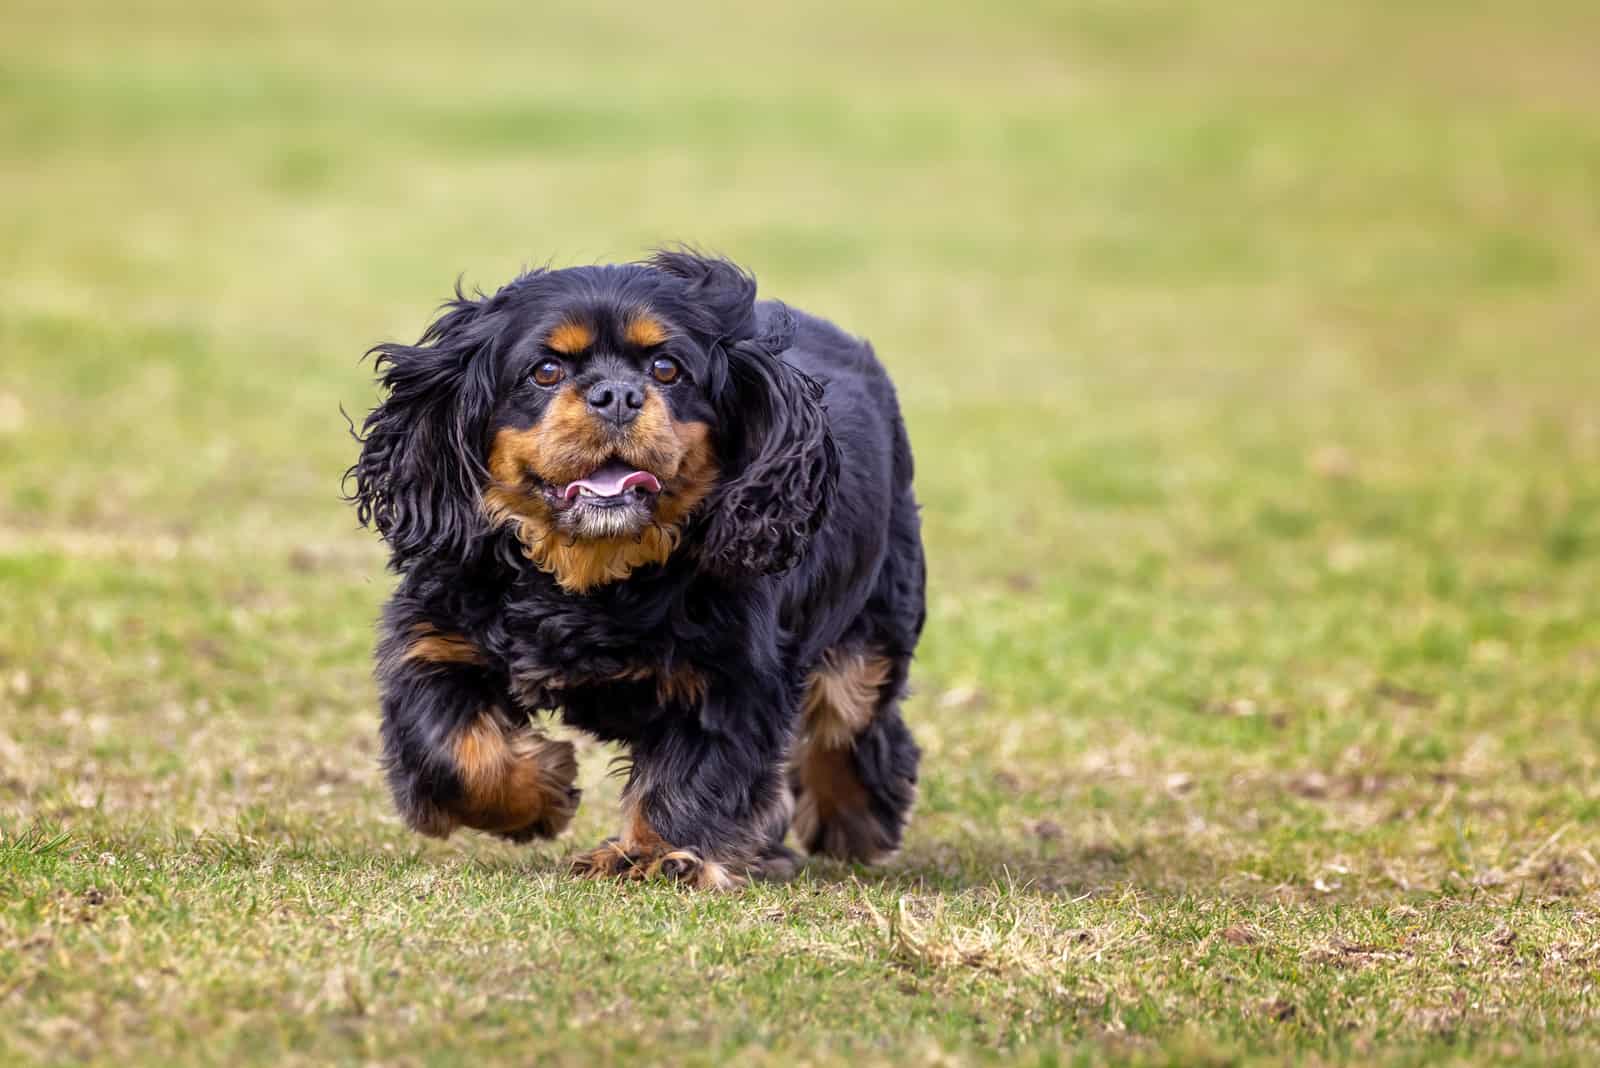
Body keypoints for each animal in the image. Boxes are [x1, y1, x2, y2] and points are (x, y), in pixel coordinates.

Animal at [350, 251, 928, 882]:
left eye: (666, 368)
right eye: (545, 371)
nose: (618, 395)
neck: (591, 570)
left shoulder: (730, 680)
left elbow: (690, 776)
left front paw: (652, 856)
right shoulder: (437, 639)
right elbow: (453, 753)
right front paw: (542, 793)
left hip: (875, 617)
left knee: (850, 716)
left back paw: (855, 822)